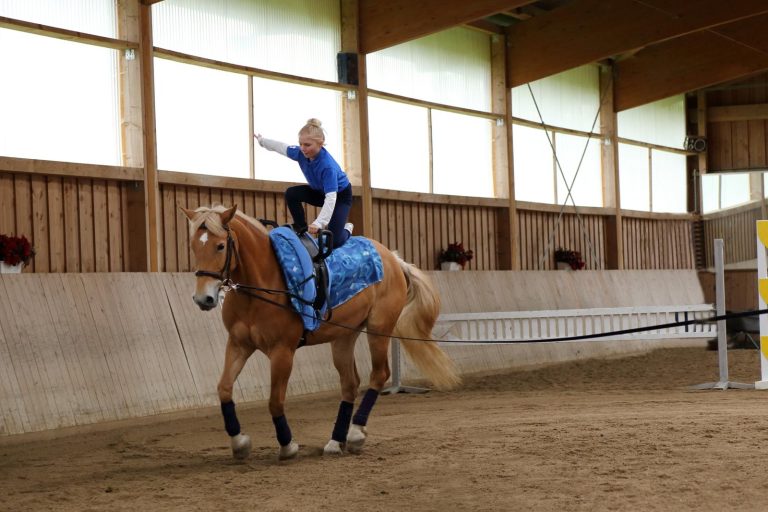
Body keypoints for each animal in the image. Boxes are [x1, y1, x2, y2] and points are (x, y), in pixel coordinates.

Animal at [181, 205, 460, 460]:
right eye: (194, 246)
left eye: (220, 246)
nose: (203, 298)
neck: (262, 285)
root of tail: (393, 258)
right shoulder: (239, 344)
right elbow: (224, 389)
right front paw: (239, 442)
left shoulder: (283, 351)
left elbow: (275, 400)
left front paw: (287, 445)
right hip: (344, 337)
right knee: (350, 384)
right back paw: (336, 440)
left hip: (379, 329)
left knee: (379, 374)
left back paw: (355, 433)